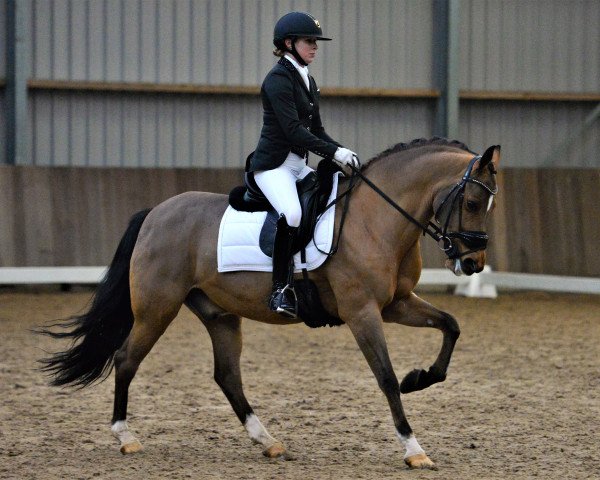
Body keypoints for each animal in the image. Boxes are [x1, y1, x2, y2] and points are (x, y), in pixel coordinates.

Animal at [39, 138, 502, 468]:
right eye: (472, 202)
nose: (473, 263)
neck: (376, 218)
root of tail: (155, 213)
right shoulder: (363, 313)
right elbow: (385, 378)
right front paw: (413, 448)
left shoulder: (397, 303)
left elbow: (451, 325)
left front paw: (420, 378)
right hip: (156, 310)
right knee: (126, 359)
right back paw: (126, 437)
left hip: (220, 315)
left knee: (227, 375)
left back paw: (268, 441)